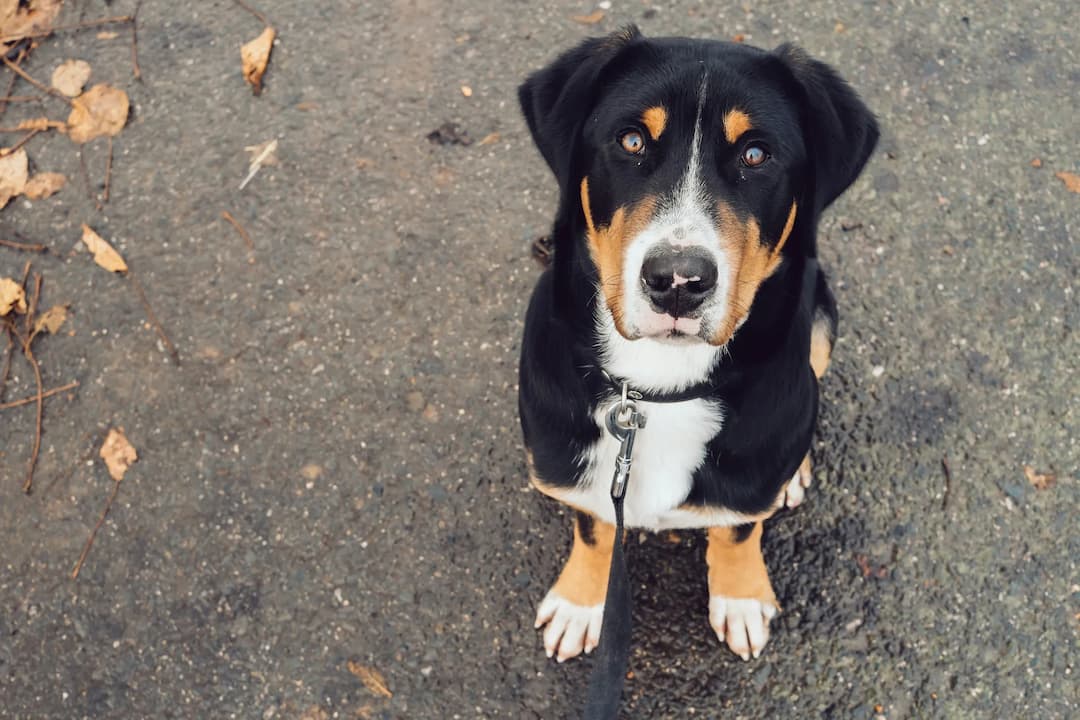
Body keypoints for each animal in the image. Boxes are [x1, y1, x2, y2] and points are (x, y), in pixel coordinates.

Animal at [518, 28, 881, 669]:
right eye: (631, 140)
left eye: (756, 155)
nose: (678, 282)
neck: (658, 388)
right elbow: (593, 523)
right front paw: (582, 601)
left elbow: (738, 527)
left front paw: (740, 596)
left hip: (819, 315)